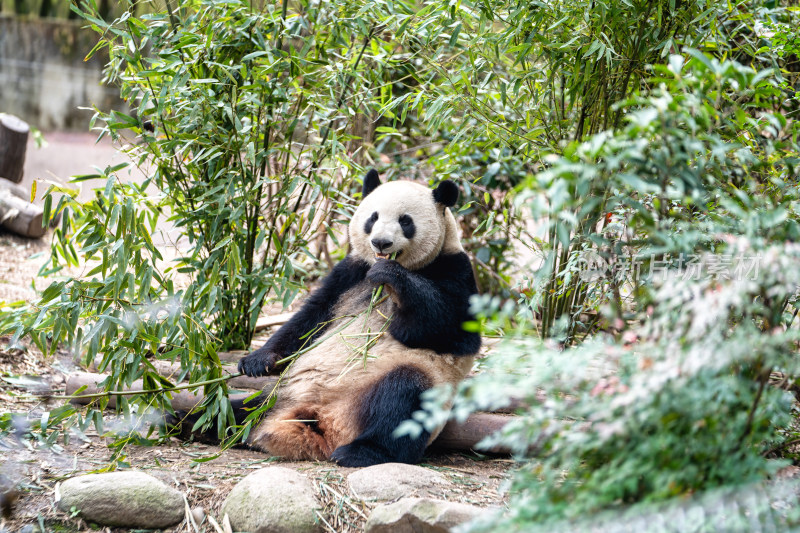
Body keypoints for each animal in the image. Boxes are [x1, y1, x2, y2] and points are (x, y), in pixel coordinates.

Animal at [233, 170, 482, 466]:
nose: (381, 242)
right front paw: (259, 360)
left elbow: (452, 331)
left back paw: (361, 451)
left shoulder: (456, 270)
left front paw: (391, 275)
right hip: (279, 396)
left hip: (407, 383)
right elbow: (310, 319)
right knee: (231, 408)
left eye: (405, 221)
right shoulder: (349, 272)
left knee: (404, 398)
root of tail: (324, 421)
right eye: (372, 218)